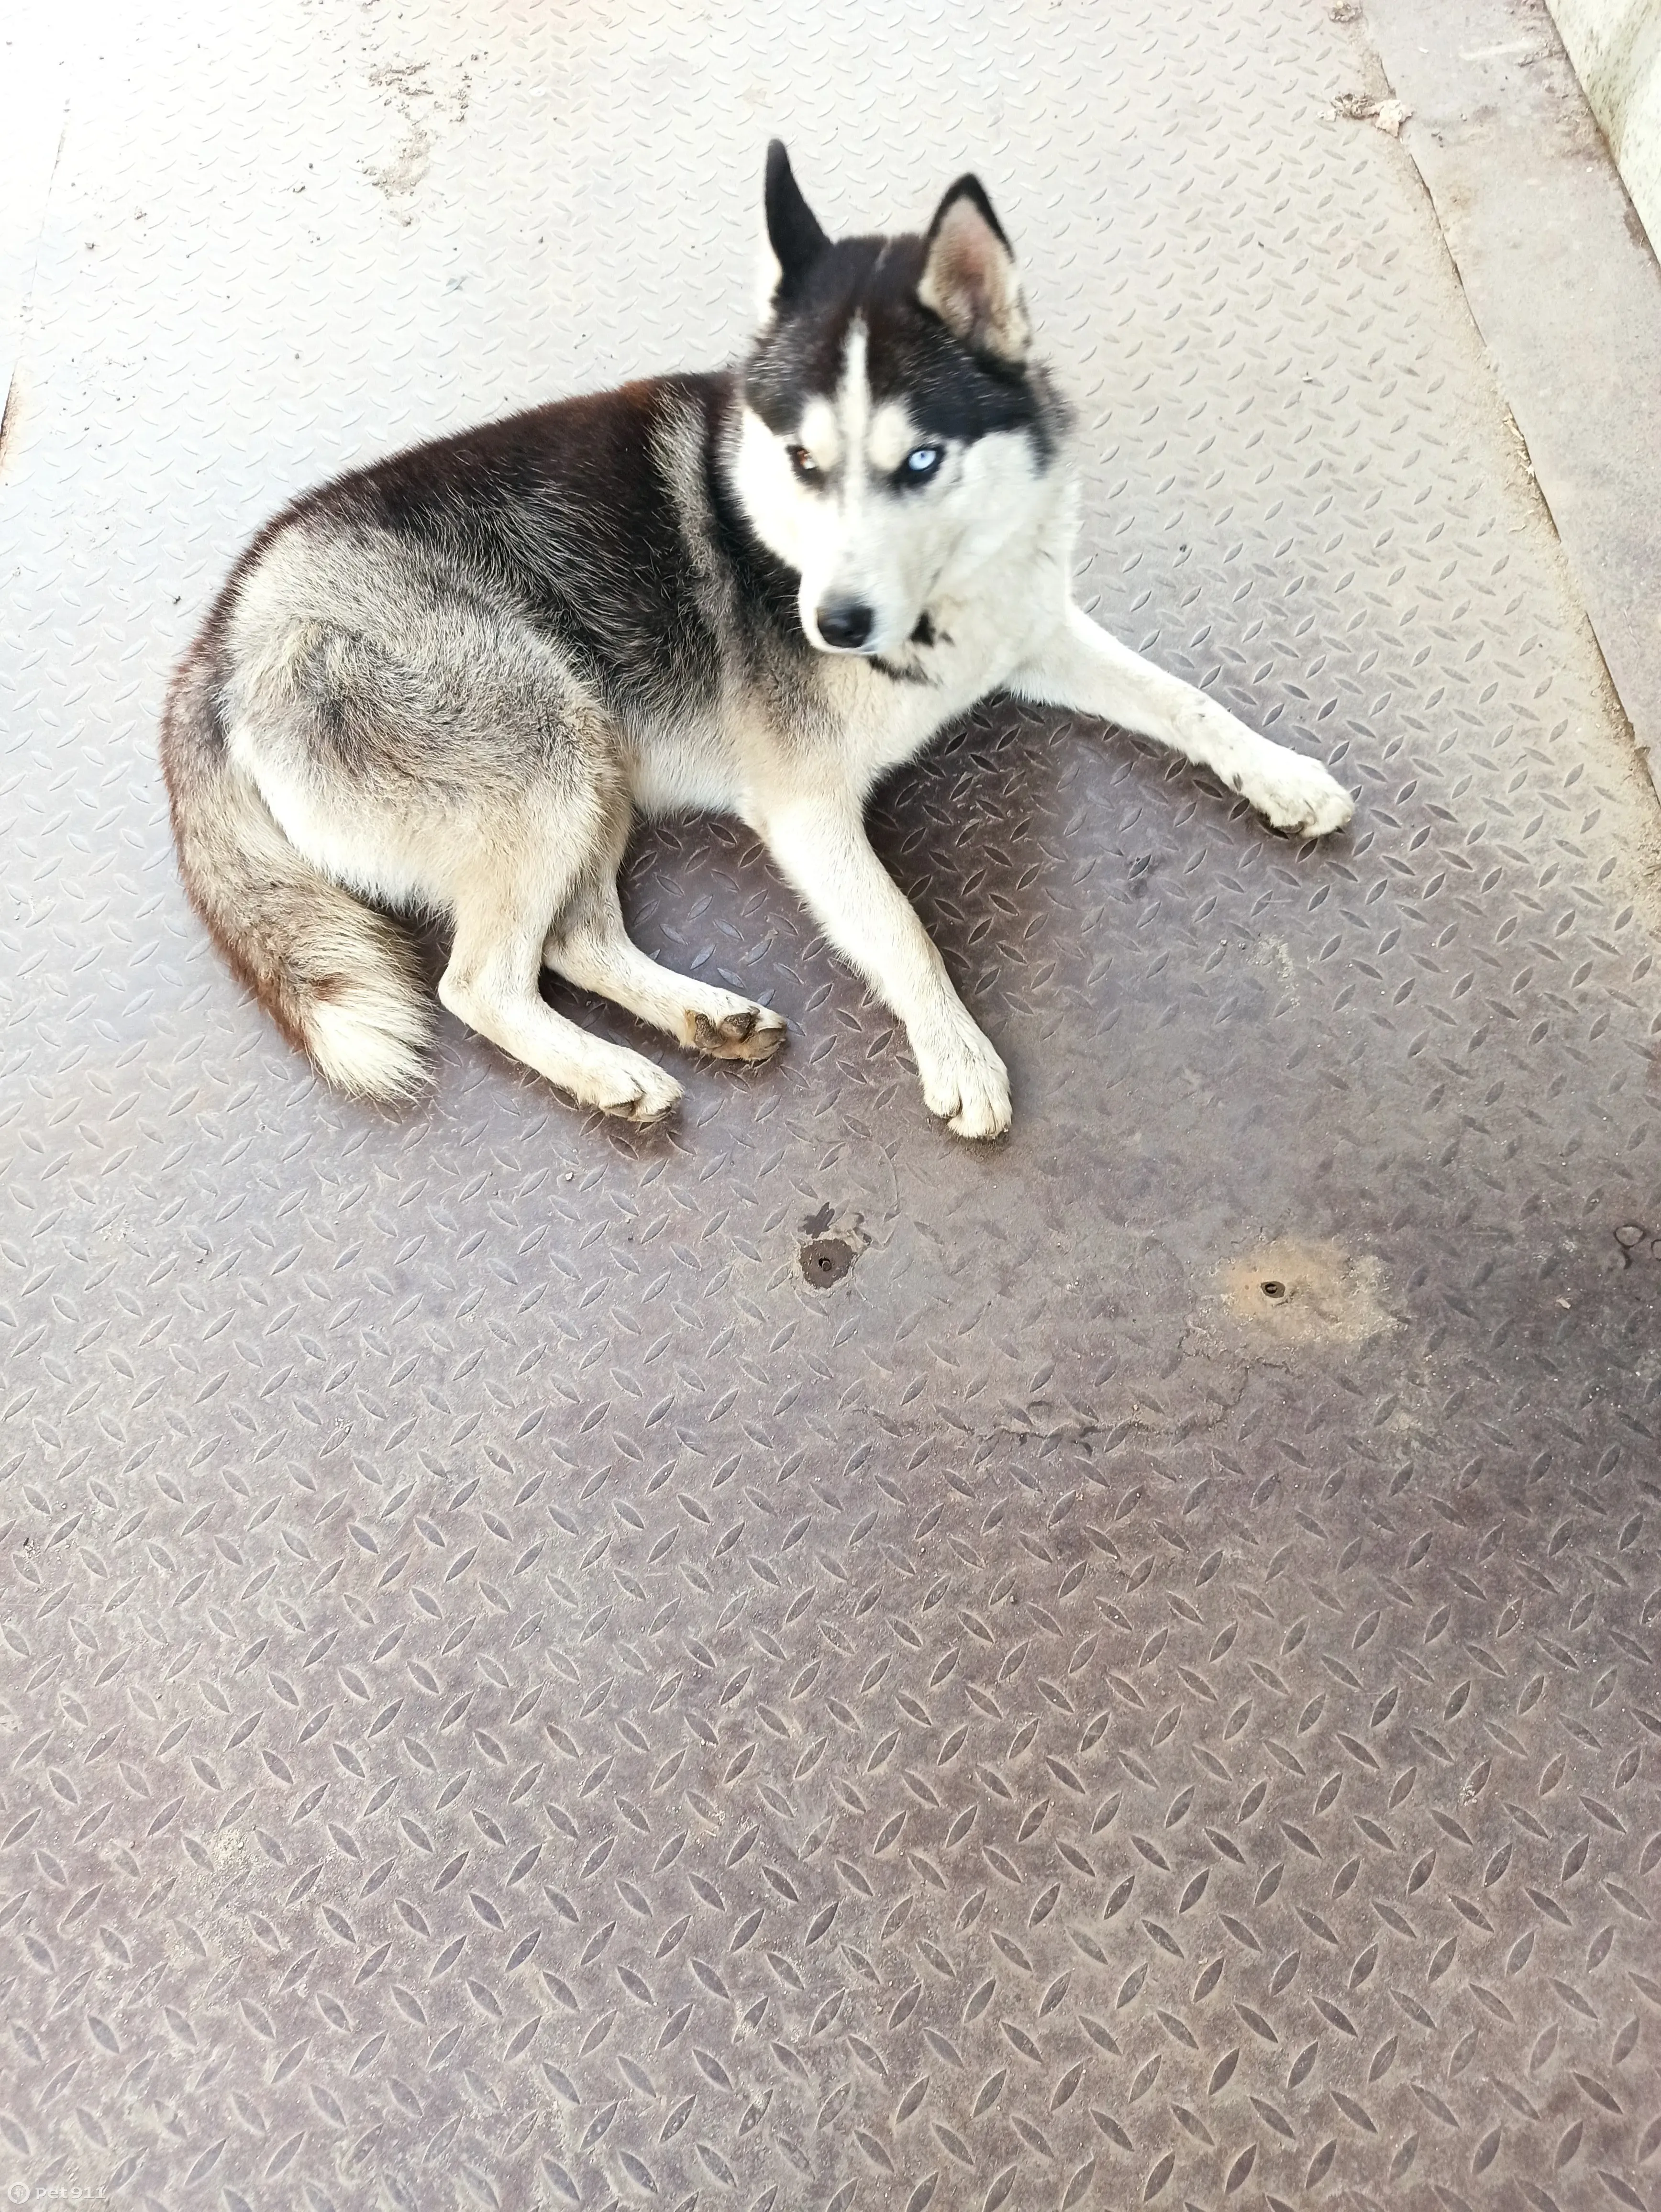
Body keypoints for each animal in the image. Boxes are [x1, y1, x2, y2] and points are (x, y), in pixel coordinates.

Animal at [159, 147, 1353, 1141]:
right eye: (802, 461)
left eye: (920, 462)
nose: (832, 624)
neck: (934, 608)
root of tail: (225, 628)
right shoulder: (805, 811)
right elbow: (902, 927)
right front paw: (956, 1052)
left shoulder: (1034, 636)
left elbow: (1188, 702)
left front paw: (1282, 775)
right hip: (549, 747)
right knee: (479, 981)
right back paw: (611, 1070)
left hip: (591, 767)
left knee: (572, 940)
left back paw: (699, 1020)